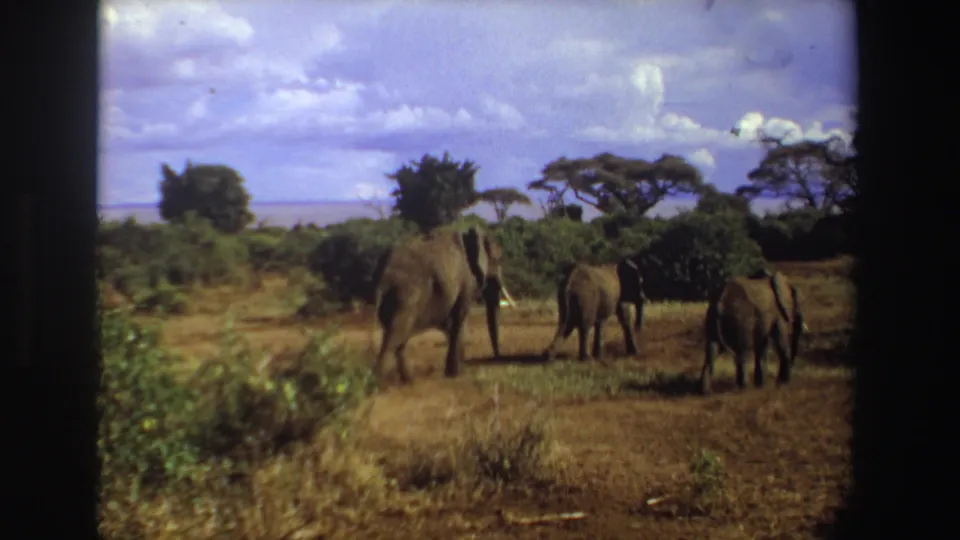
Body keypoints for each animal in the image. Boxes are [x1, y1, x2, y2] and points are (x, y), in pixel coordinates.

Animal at [371, 226, 515, 384]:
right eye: (498, 260)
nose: (497, 357)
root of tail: (381, 274)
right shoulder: (466, 278)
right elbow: (460, 316)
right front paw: (454, 374)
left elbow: (451, 323)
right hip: (406, 293)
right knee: (396, 335)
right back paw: (378, 382)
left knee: (398, 335)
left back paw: (408, 381)